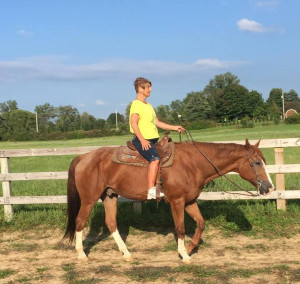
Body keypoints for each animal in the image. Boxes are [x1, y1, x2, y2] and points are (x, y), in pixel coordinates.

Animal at [63, 139, 274, 262]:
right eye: (256, 162)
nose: (269, 187)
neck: (193, 163)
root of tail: (83, 157)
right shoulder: (177, 202)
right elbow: (180, 228)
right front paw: (185, 255)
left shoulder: (190, 201)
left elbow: (201, 224)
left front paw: (189, 248)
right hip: (89, 199)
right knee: (80, 222)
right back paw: (81, 254)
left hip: (109, 196)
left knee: (111, 223)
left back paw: (126, 253)